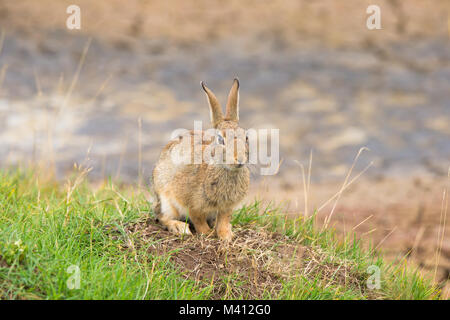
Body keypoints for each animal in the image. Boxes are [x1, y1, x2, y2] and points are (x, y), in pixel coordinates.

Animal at [151, 79, 250, 241]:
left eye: (246, 137)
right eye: (220, 139)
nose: (240, 159)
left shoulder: (226, 207)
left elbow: (223, 220)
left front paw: (226, 236)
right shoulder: (192, 204)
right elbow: (198, 219)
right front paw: (207, 234)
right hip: (166, 200)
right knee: (162, 217)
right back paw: (179, 227)